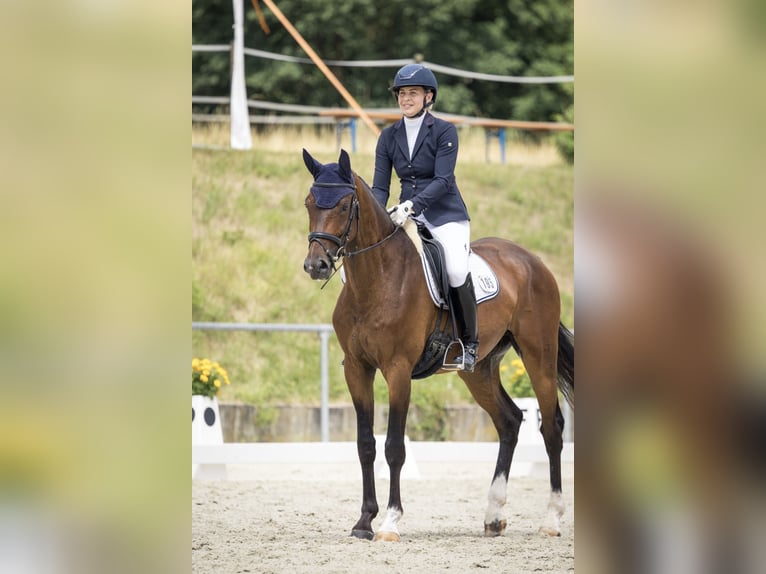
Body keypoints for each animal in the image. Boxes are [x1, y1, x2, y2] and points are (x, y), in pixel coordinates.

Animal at [301, 148, 574, 541]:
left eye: (342, 204)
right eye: (309, 202)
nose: (316, 265)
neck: (377, 279)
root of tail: (531, 260)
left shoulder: (398, 370)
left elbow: (394, 447)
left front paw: (390, 522)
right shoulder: (356, 368)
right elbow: (365, 445)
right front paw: (364, 521)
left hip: (539, 354)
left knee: (551, 427)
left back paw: (551, 519)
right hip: (478, 370)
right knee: (509, 421)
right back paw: (494, 516)